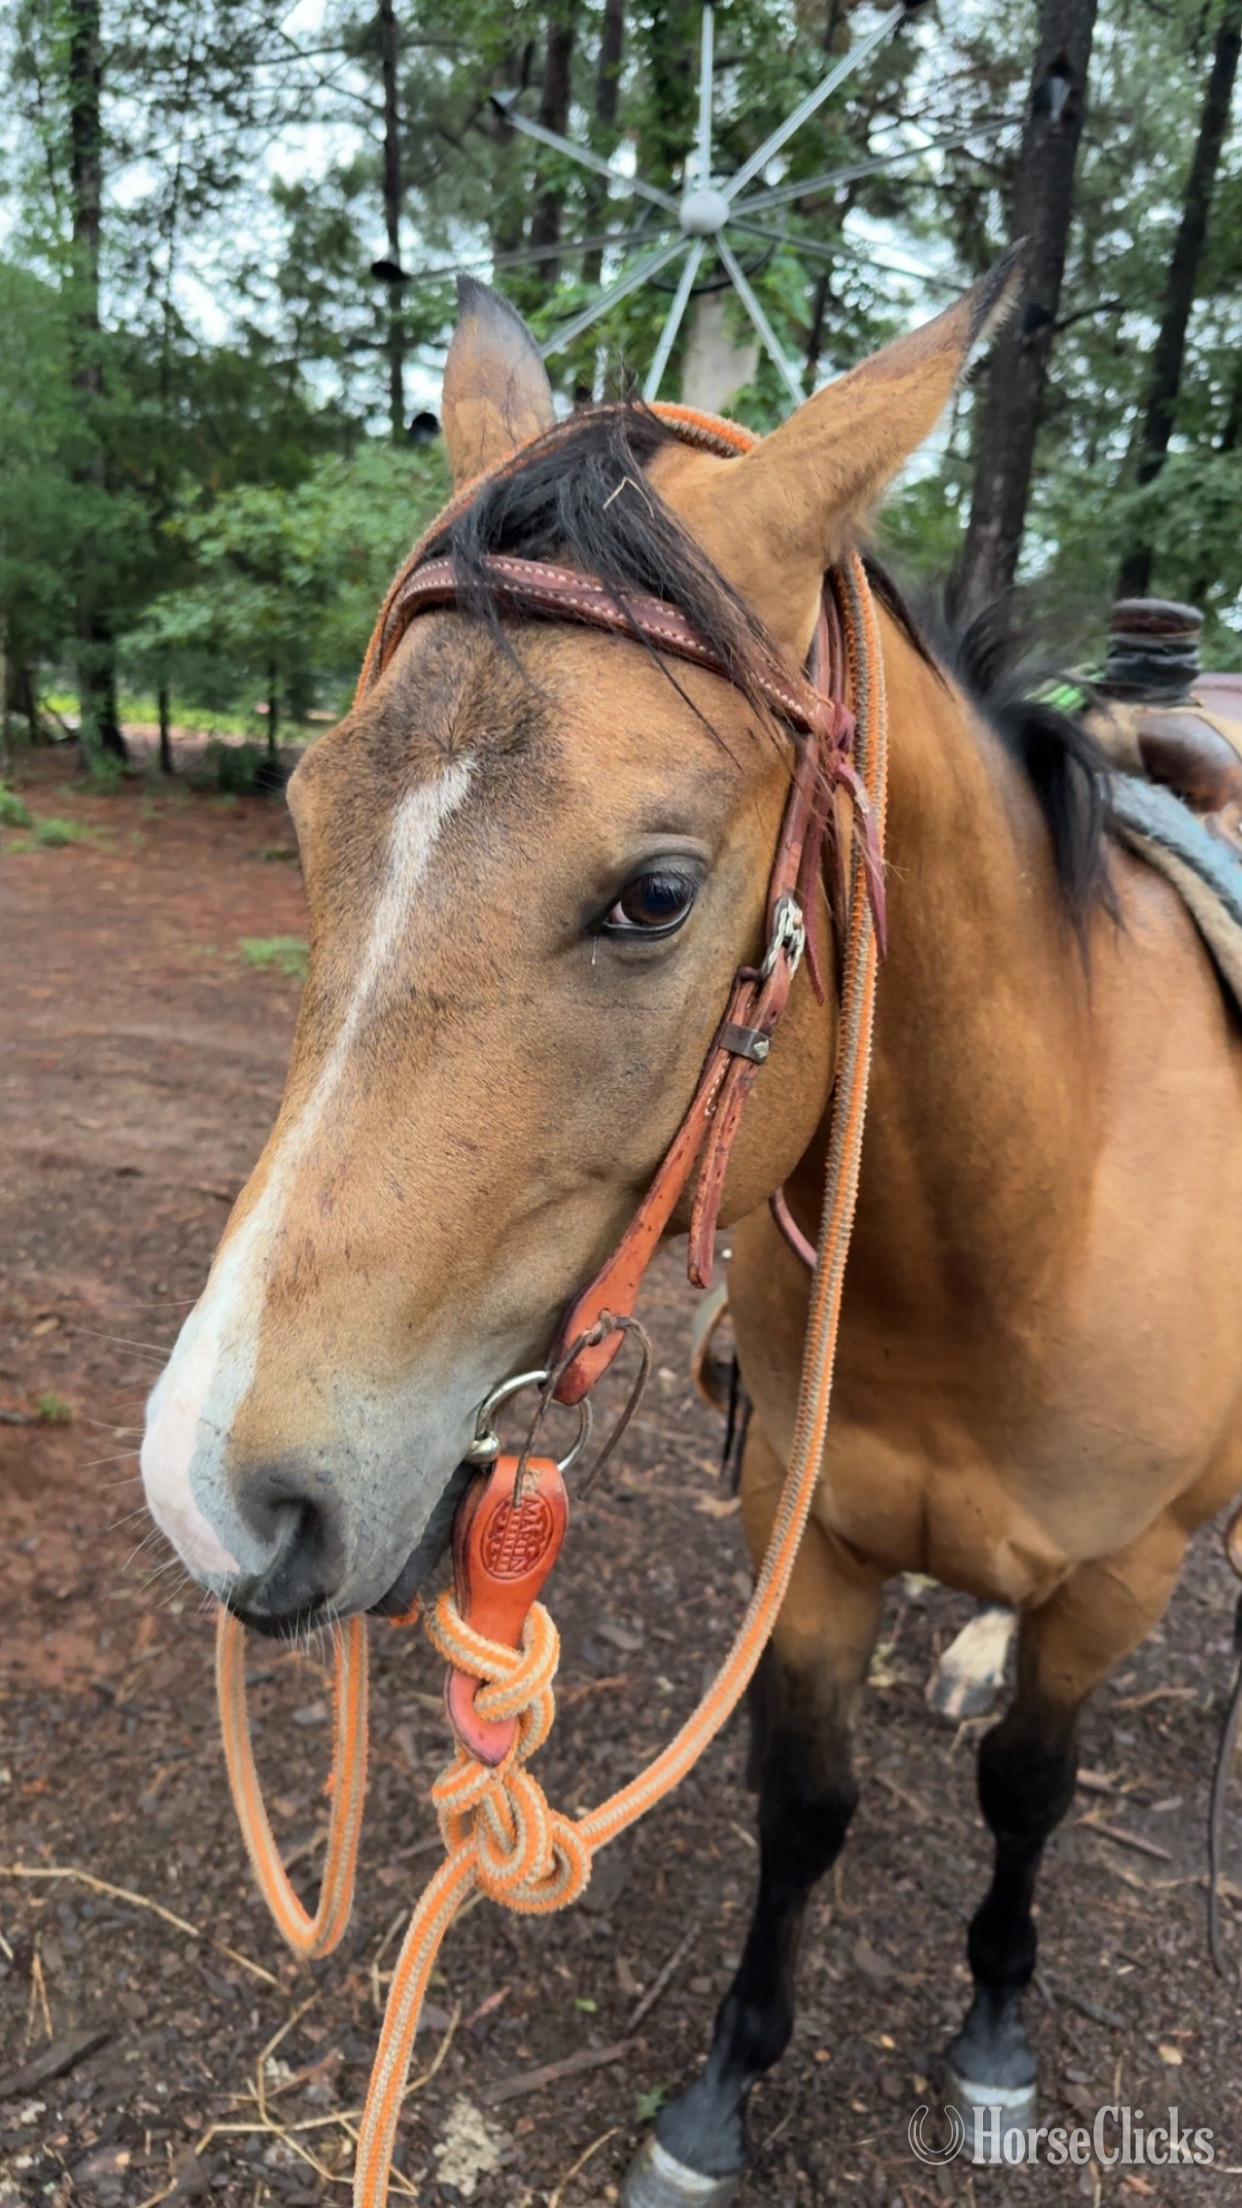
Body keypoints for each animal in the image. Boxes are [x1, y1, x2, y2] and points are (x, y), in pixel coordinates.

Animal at [140, 273, 1242, 2205]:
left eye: (654, 894)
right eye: (306, 817)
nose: (217, 1491)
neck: (1014, 1239)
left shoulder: (1120, 1581)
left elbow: (1027, 1795)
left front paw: (994, 2035)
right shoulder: (800, 1548)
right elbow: (802, 1807)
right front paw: (723, 2090)